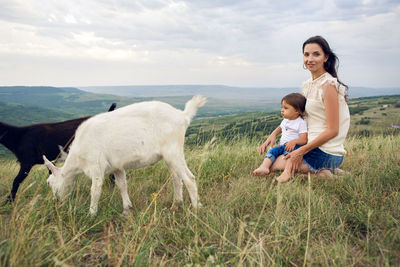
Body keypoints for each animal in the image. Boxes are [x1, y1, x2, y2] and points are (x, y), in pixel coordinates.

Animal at [43, 95, 206, 217]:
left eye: (49, 183)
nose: (55, 203)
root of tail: (182, 116)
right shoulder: (116, 166)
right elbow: (122, 185)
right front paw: (127, 209)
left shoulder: (96, 166)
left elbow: (95, 190)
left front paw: (91, 214)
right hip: (170, 156)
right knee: (176, 178)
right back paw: (175, 205)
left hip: (173, 152)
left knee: (189, 178)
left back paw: (196, 209)